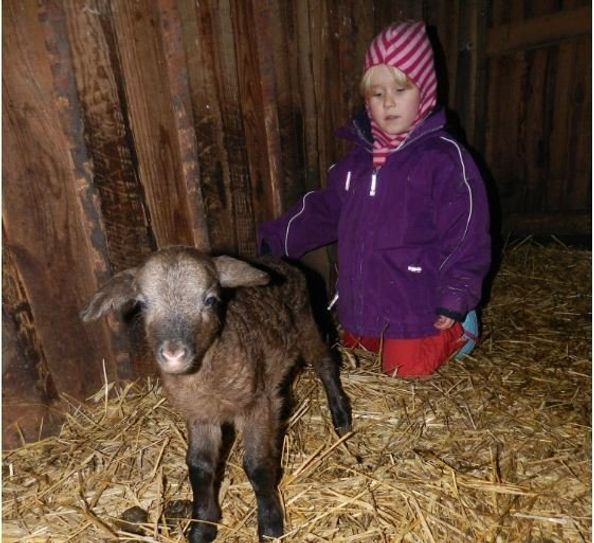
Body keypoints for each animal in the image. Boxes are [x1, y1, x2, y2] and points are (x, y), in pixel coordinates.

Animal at [82, 248, 352, 543]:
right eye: (142, 304)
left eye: (210, 299)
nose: (174, 354)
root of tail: (279, 262)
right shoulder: (200, 416)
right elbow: (199, 467)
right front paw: (202, 527)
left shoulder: (258, 406)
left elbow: (256, 465)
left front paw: (270, 526)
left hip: (306, 325)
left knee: (325, 363)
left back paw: (342, 417)